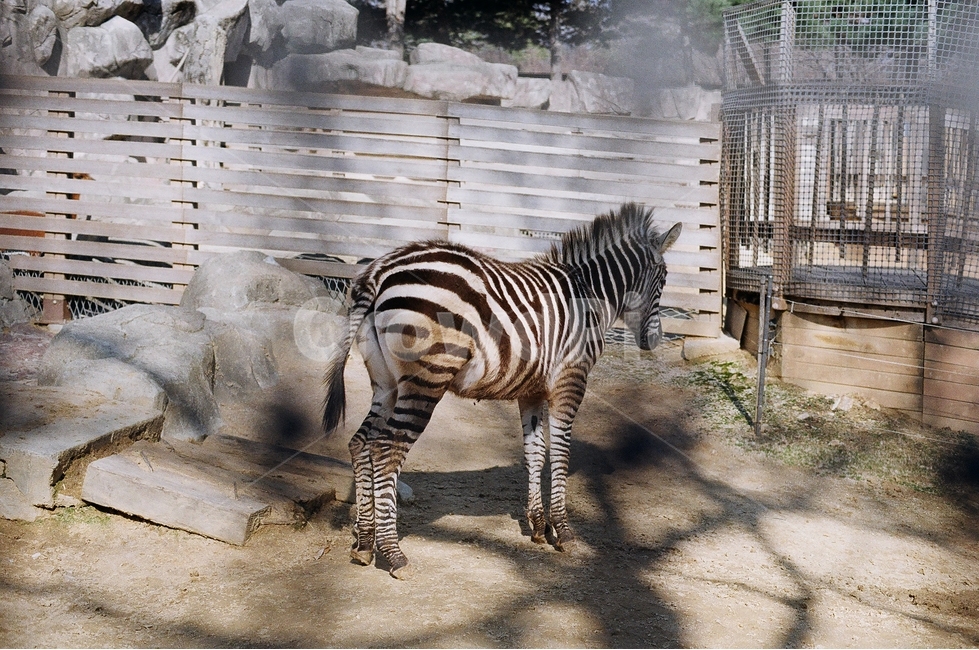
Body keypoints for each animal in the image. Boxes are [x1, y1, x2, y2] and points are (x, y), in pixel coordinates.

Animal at [322, 202, 681, 578]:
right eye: (663, 280)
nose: (653, 342)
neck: (587, 294)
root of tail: (379, 270)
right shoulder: (571, 379)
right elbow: (561, 452)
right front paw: (563, 531)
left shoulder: (531, 390)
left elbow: (536, 452)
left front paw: (538, 526)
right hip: (426, 380)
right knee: (386, 450)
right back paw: (394, 554)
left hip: (386, 383)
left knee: (361, 442)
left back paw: (364, 543)